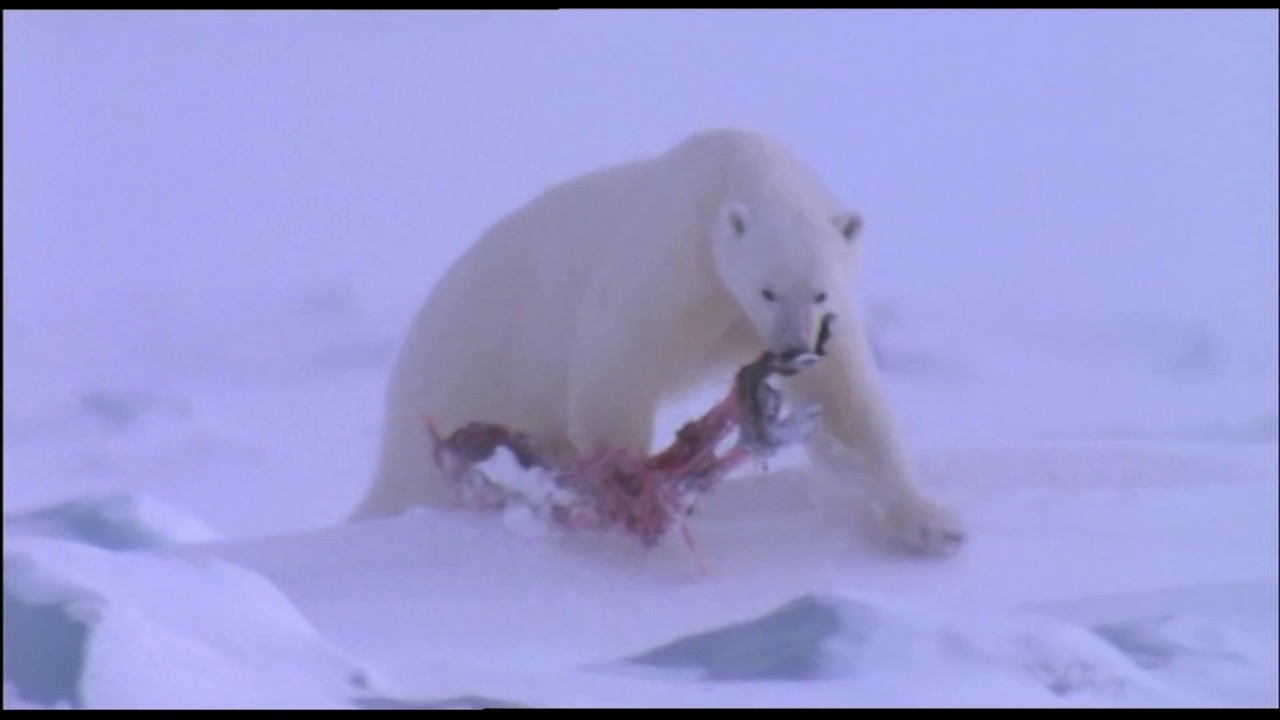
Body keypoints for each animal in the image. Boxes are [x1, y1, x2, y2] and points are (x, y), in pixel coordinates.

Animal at [350, 128, 964, 555]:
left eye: (820, 292)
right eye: (766, 290)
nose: (791, 352)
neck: (733, 168)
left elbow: (844, 404)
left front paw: (932, 525)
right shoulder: (672, 263)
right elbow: (615, 369)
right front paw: (636, 495)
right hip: (467, 382)